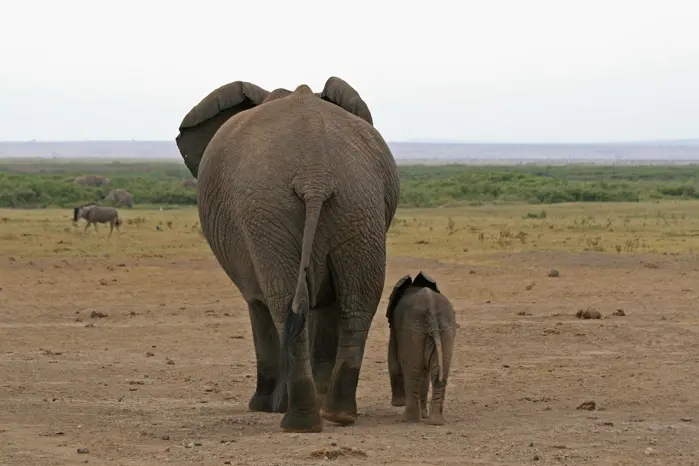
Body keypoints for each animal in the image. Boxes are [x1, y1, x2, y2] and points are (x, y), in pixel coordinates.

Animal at [176, 76, 400, 434]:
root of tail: (315, 173)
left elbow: (259, 305)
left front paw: (261, 406)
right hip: (359, 203)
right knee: (358, 301)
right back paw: (337, 414)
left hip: (267, 210)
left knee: (283, 303)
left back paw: (298, 421)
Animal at [386, 272, 456, 424]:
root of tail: (431, 308)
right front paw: (423, 413)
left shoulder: (395, 327)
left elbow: (393, 361)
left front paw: (398, 403)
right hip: (445, 328)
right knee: (438, 372)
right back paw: (435, 421)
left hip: (412, 329)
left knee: (413, 370)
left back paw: (408, 419)